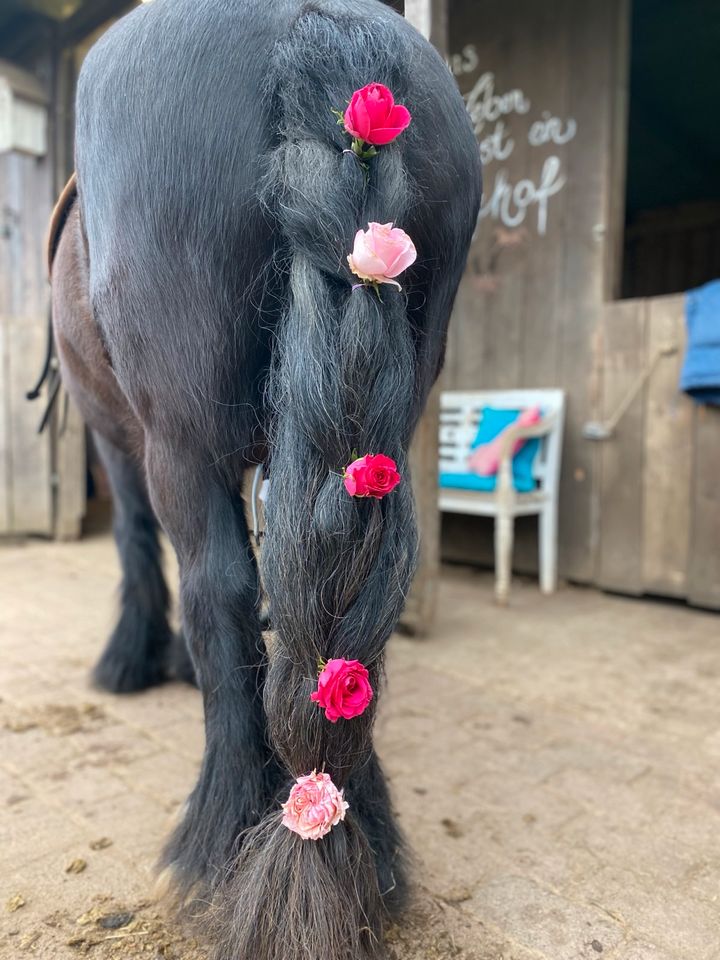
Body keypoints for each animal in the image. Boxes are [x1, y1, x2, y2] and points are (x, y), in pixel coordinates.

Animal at [49, 1, 478, 960]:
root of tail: (316, 26)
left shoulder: (116, 438)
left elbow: (139, 544)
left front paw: (136, 655)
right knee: (344, 609)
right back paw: (367, 833)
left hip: (175, 440)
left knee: (218, 585)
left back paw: (221, 834)